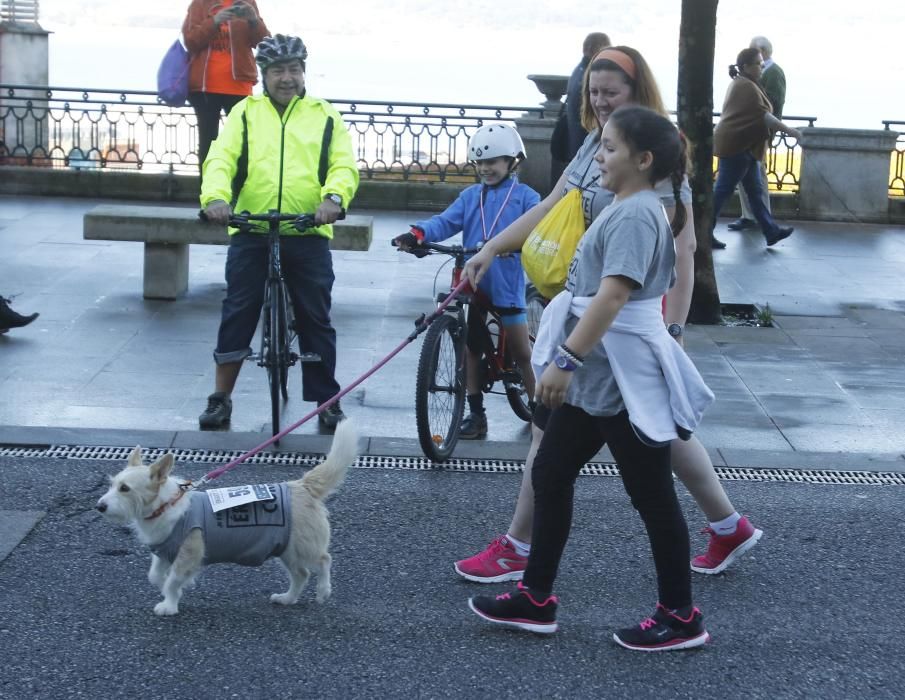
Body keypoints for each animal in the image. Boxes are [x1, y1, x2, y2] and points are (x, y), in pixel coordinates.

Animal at [95, 418, 356, 616]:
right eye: (112, 484)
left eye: (125, 489)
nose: (99, 506)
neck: (165, 505)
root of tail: (302, 485)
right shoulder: (164, 551)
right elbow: (156, 576)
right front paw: (179, 587)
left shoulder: (189, 552)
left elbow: (171, 580)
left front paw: (169, 604)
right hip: (287, 550)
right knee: (301, 574)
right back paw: (287, 598)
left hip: (303, 547)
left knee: (324, 560)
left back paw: (323, 590)